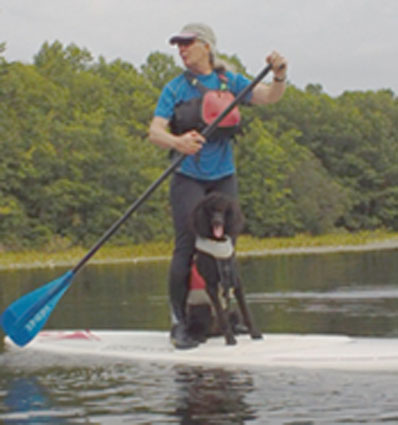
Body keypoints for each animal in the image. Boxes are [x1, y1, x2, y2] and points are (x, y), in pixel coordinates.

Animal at [186, 192, 262, 344]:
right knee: (198, 328)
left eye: (222, 210)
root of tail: (214, 332)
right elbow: (221, 315)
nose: (217, 222)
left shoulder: (237, 281)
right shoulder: (211, 285)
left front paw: (255, 333)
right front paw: (230, 339)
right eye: (211, 210)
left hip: (233, 312)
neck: (218, 243)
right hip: (202, 310)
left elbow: (246, 311)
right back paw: (200, 336)